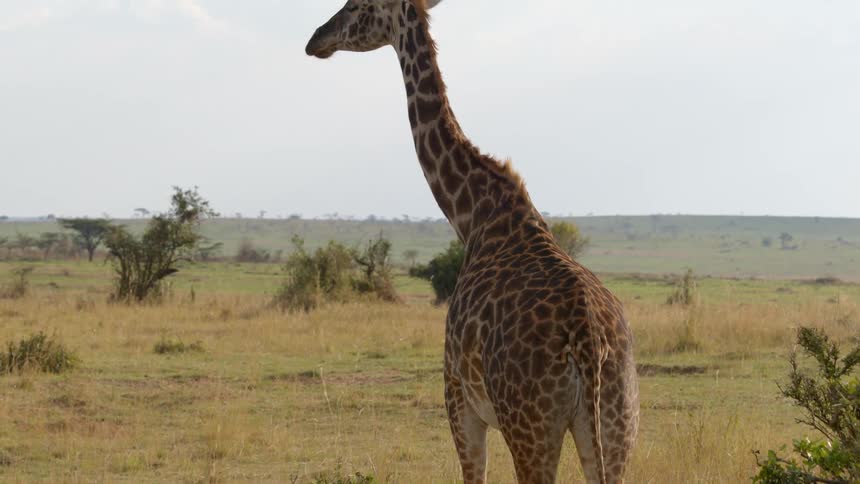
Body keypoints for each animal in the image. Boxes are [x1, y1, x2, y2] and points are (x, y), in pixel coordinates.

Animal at [305, 1, 639, 482]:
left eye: (356, 6)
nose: (316, 38)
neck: (473, 214)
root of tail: (589, 340)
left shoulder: (458, 400)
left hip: (530, 427)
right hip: (616, 426)